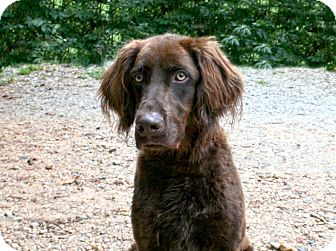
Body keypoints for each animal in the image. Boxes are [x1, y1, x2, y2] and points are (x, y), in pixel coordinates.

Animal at [99, 33, 252, 251]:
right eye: (138, 77)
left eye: (180, 76)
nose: (147, 125)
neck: (178, 164)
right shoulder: (147, 235)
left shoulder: (226, 238)